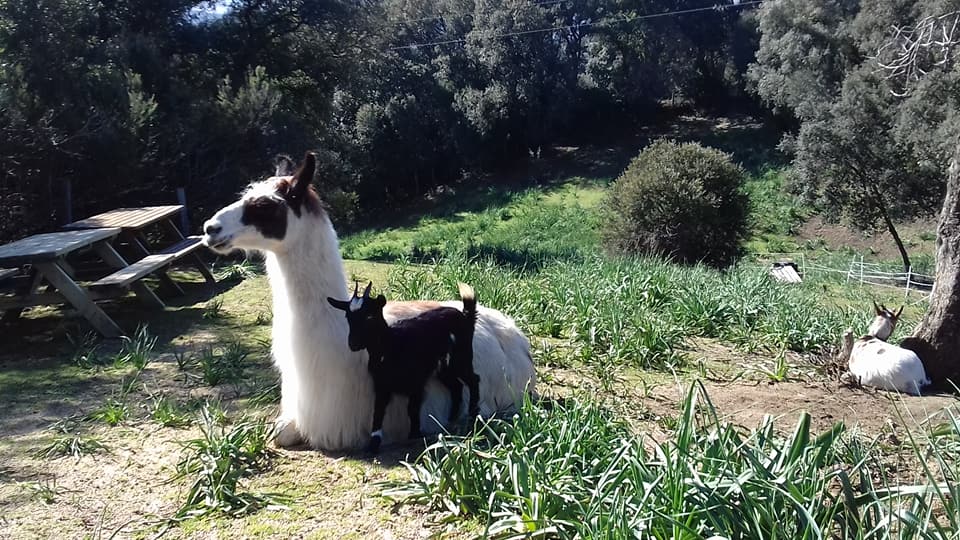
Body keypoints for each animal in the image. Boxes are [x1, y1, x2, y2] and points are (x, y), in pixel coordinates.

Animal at [328, 280, 480, 454]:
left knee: (473, 380)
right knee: (456, 387)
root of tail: (465, 316)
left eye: (369, 316)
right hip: (443, 367)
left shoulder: (417, 382)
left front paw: (415, 435)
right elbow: (378, 411)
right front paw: (373, 444)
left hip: (461, 358)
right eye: (348, 316)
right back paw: (450, 422)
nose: (353, 344)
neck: (391, 344)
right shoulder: (381, 385)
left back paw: (473, 416)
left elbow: (412, 409)